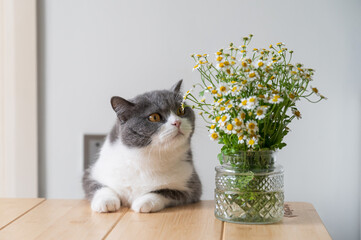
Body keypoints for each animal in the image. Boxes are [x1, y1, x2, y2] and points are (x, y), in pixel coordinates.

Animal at [82, 81, 201, 214]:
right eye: (154, 117)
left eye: (181, 110)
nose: (177, 122)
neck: (146, 158)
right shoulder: (91, 173)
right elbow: (99, 186)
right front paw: (106, 202)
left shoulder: (193, 186)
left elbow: (166, 191)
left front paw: (144, 202)